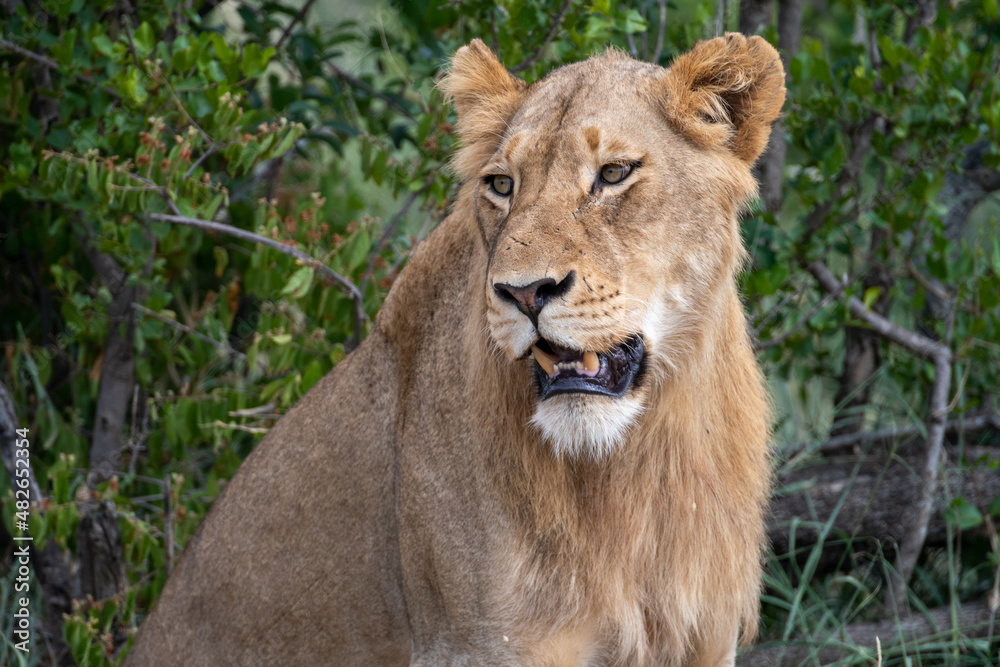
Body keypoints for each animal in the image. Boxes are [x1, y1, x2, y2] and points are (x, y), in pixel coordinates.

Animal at [126, 34, 784, 666]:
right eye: (502, 185)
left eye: (615, 173)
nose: (524, 293)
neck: (634, 463)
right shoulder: (479, 645)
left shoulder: (706, 638)